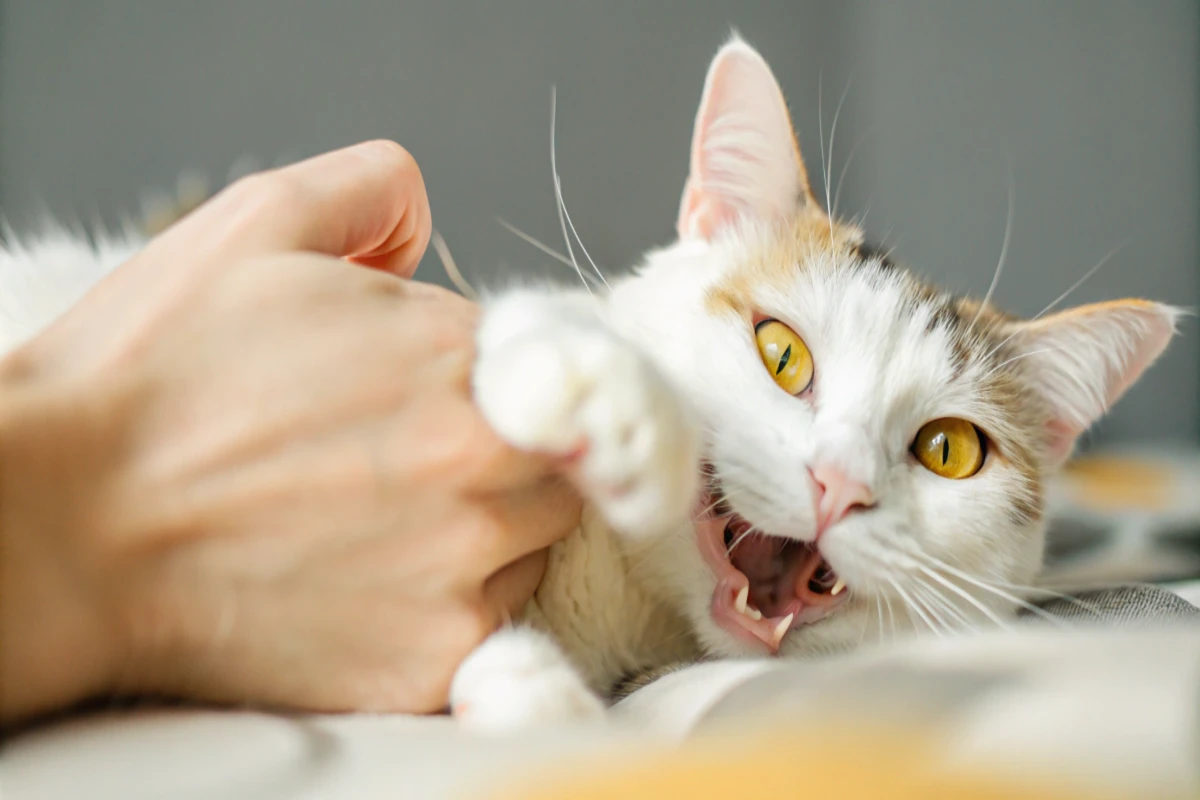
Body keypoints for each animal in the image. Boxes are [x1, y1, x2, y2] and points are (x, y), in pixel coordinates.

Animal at [0, 35, 1180, 738]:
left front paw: (527, 694)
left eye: (948, 449)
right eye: (783, 354)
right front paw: (601, 393)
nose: (838, 483)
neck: (619, 608)